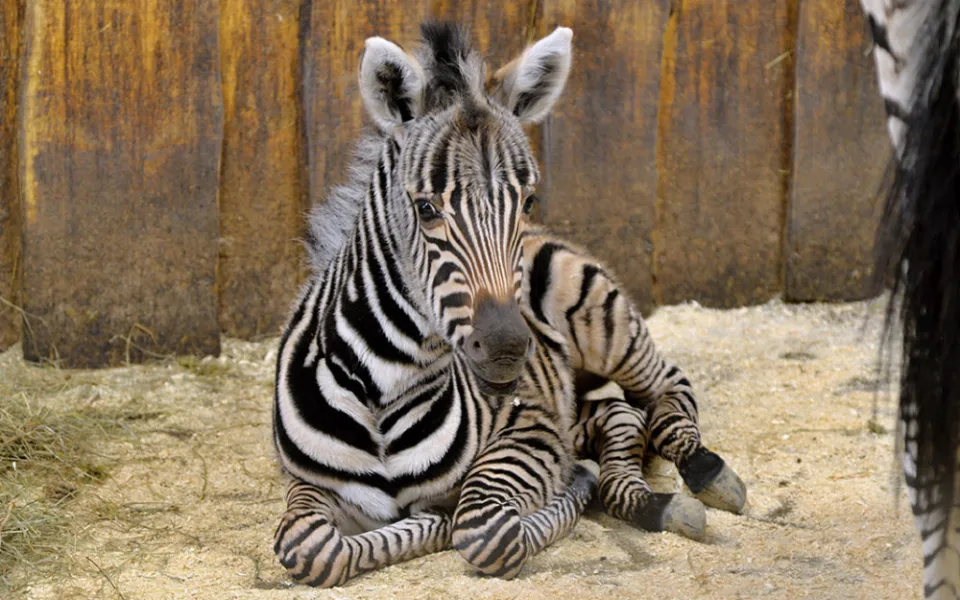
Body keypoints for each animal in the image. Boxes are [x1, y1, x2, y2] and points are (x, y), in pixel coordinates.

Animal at [272, 22, 747, 587]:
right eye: (426, 209)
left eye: (527, 202)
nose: (507, 350)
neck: (384, 385)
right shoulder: (305, 482)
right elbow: (307, 544)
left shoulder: (529, 430)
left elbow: (486, 530)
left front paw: (549, 495)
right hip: (572, 395)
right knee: (619, 416)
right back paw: (643, 497)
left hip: (601, 322)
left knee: (666, 387)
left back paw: (703, 472)